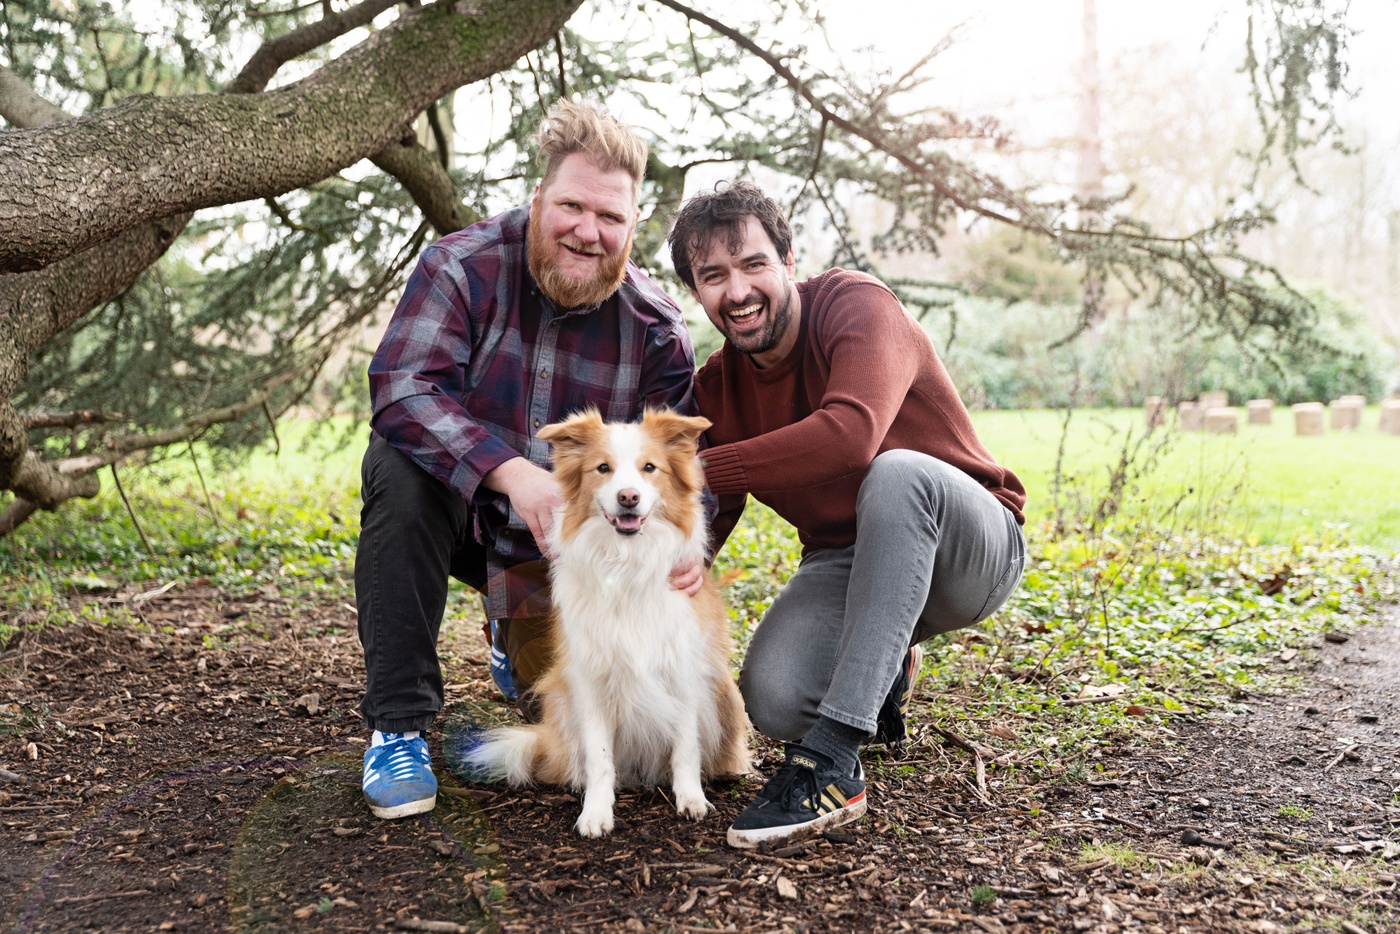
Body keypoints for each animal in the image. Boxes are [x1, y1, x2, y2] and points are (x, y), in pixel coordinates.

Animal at [464, 408, 750, 840]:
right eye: (603, 468)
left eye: (650, 468)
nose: (628, 497)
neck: (627, 562)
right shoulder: (590, 682)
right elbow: (599, 757)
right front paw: (596, 813)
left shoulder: (683, 674)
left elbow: (685, 746)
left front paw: (691, 799)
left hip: (724, 695)